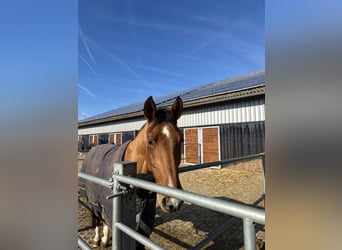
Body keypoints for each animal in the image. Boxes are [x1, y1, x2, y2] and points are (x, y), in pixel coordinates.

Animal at [79, 96, 184, 248]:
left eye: (181, 140)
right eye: (150, 141)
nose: (172, 202)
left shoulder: (142, 231)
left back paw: (104, 239)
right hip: (92, 197)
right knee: (96, 216)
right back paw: (97, 239)